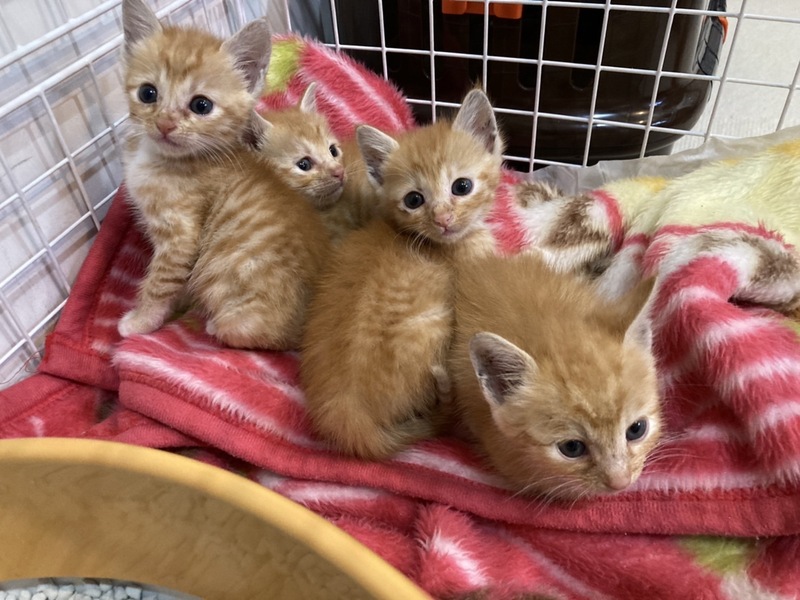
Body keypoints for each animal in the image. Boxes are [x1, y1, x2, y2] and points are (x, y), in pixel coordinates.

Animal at [117, 0, 272, 338]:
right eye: (147, 93)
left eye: (201, 105)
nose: (164, 123)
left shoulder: (180, 237)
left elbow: (160, 281)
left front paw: (142, 320)